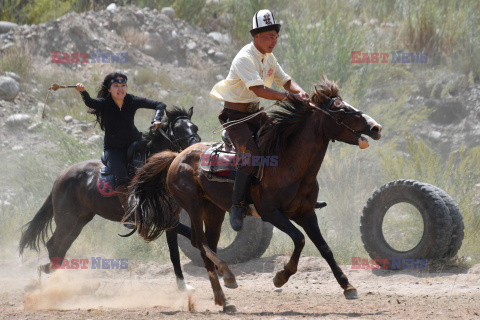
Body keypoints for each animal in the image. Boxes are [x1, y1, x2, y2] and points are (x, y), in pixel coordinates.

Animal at [19, 107, 200, 290]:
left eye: (195, 128)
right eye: (178, 130)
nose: (195, 150)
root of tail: (60, 177)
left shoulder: (170, 217)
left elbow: (175, 252)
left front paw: (183, 286)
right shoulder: (160, 217)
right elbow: (188, 233)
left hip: (79, 221)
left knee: (61, 247)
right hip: (66, 220)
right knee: (53, 245)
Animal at [127, 78, 382, 312]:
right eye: (342, 110)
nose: (376, 128)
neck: (288, 162)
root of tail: (176, 156)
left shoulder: (306, 213)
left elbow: (324, 247)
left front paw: (348, 287)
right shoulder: (271, 213)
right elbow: (299, 239)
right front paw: (281, 277)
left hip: (214, 211)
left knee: (207, 246)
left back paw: (223, 298)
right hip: (193, 205)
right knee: (198, 242)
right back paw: (228, 277)